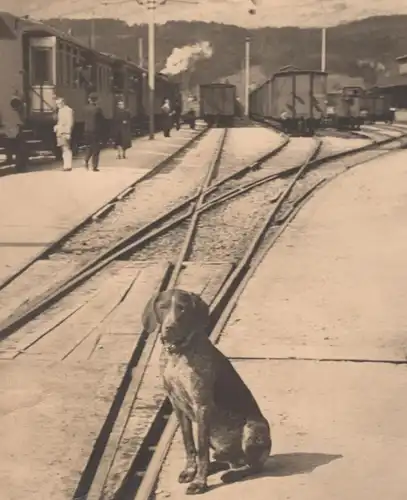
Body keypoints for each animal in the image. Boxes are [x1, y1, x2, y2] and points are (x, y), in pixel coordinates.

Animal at [142, 288, 272, 494]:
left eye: (182, 308)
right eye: (162, 307)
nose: (169, 327)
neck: (177, 354)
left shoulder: (201, 406)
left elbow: (201, 451)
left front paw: (199, 482)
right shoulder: (177, 406)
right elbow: (189, 444)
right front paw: (191, 471)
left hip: (254, 427)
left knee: (253, 466)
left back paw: (232, 474)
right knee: (228, 459)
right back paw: (217, 466)